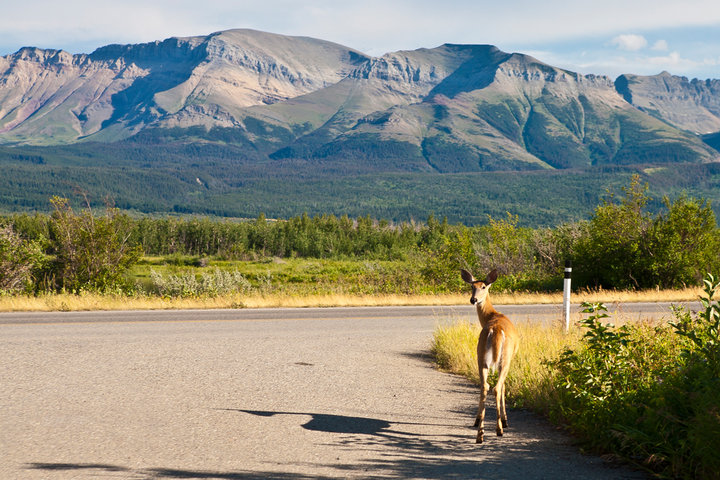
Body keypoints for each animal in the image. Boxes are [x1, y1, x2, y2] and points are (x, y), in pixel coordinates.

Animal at [462, 268, 516, 444]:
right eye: (472, 286)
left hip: (480, 356)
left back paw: (480, 433)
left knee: (484, 386)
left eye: (483, 286)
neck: (492, 315)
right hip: (504, 358)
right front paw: (505, 420)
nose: (473, 299)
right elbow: (504, 386)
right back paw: (499, 429)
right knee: (497, 387)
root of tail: (495, 330)